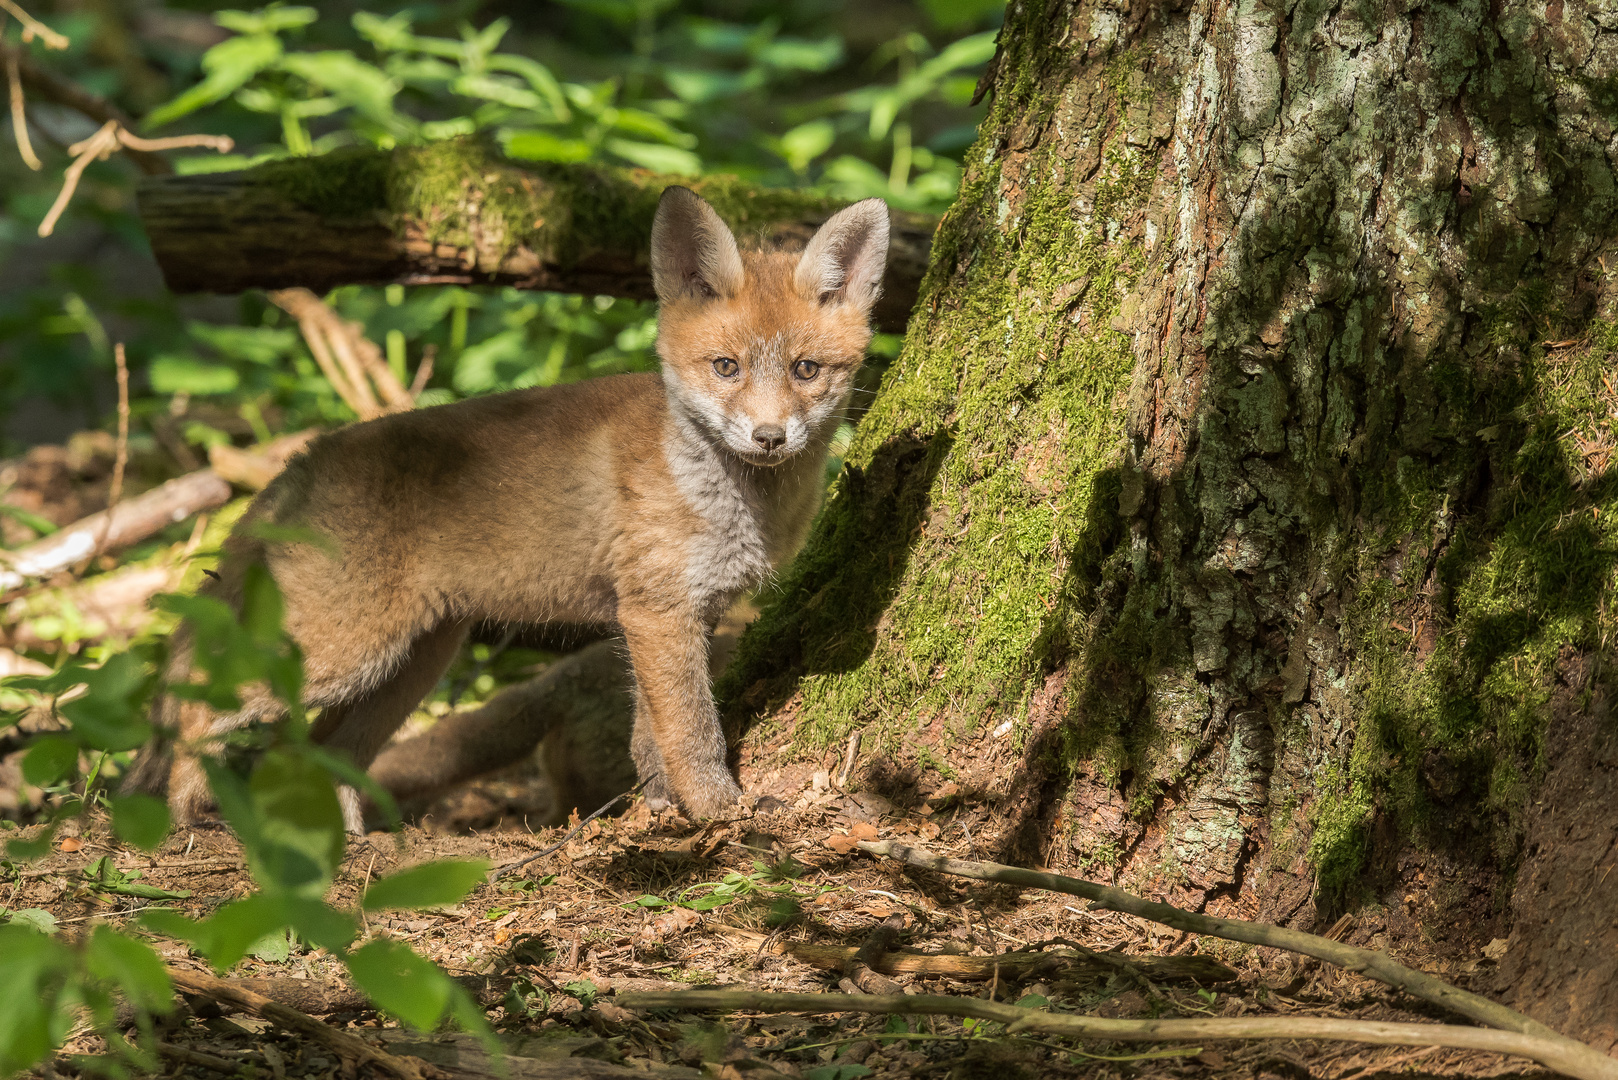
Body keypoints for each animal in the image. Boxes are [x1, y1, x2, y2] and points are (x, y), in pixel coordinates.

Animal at [147, 187, 893, 829]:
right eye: (726, 367)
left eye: (805, 370)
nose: (769, 437)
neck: (731, 502)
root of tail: (309, 452)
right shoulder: (657, 611)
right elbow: (691, 733)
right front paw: (718, 812)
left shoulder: (682, 612)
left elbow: (651, 736)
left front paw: (656, 810)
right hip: (341, 652)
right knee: (196, 708)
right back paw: (186, 817)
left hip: (410, 665)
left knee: (325, 755)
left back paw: (356, 847)